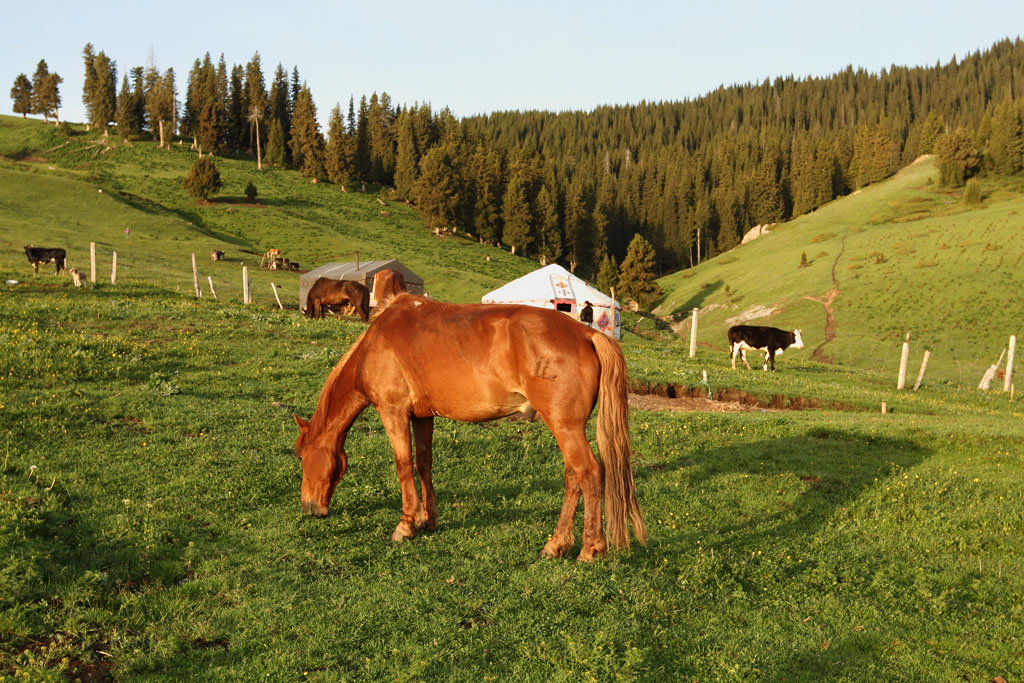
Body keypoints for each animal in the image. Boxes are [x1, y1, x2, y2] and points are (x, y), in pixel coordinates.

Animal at [294, 294, 647, 561]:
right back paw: (556, 544)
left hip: (565, 428)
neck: (377, 344)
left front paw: (406, 525)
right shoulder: (422, 416)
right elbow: (423, 464)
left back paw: (590, 548)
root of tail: (588, 335)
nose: (310, 507)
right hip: (567, 429)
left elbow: (403, 464)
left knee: (589, 473)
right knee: (572, 477)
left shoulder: (393, 412)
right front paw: (428, 520)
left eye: (300, 457)